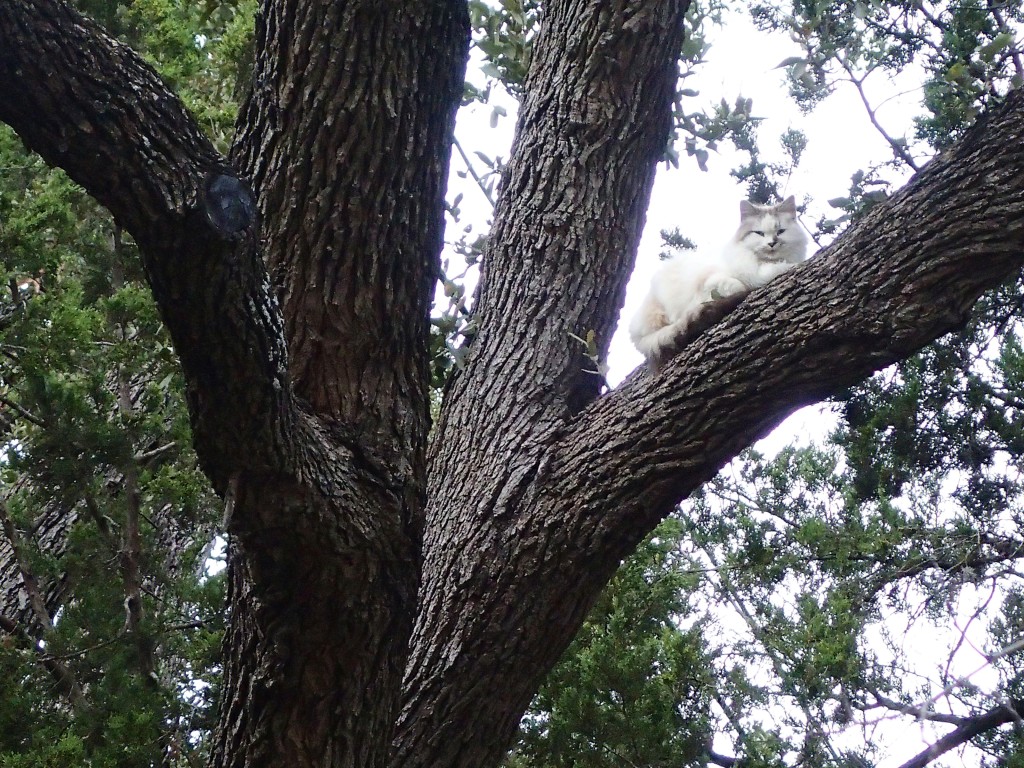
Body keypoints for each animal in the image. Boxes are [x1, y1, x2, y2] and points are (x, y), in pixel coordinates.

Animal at [626, 196, 811, 368]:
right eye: (759, 233)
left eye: (780, 231)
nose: (772, 243)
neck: (763, 264)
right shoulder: (710, 282)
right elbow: (737, 285)